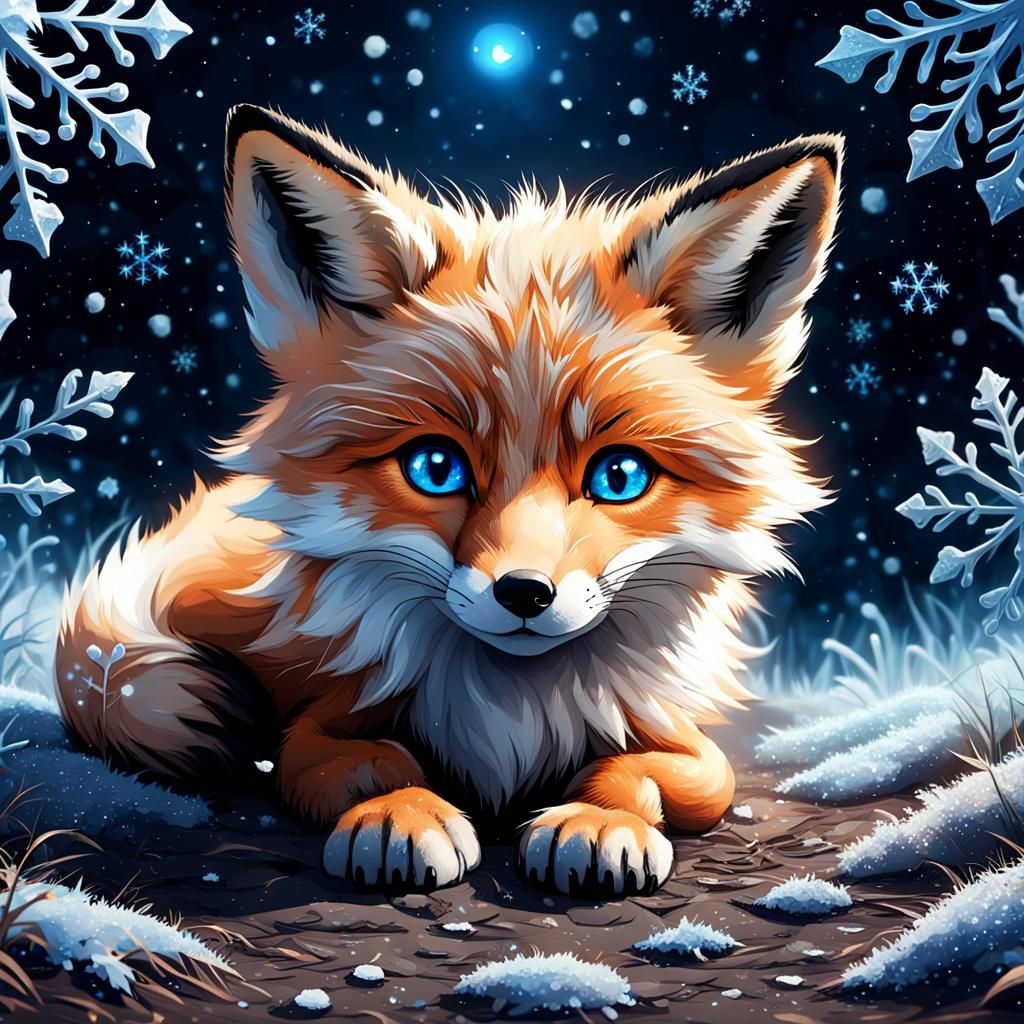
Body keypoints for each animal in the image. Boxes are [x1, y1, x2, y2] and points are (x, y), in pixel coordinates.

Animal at [55, 104, 841, 897]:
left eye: (619, 477)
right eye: (435, 467)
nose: (524, 593)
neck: (513, 716)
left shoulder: (684, 742)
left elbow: (655, 773)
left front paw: (600, 821)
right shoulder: (325, 721)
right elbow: (351, 762)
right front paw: (400, 812)